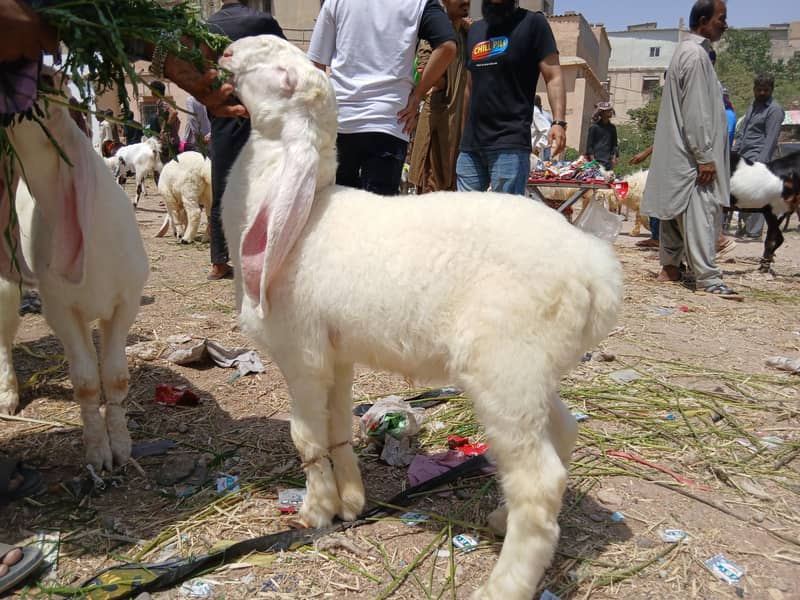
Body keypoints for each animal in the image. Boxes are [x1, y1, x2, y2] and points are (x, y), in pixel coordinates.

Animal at [6, 81, 150, 471]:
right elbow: (85, 381)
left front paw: (121, 447)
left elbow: (115, 377)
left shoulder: (126, 301)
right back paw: (7, 394)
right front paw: (98, 452)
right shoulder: (59, 309)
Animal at [219, 35, 623, 600]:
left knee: (540, 483)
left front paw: (314, 513)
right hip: (532, 373)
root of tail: (596, 272)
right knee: (563, 433)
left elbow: (306, 436)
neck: (294, 212)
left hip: (504, 371)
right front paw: (351, 503)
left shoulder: (302, 355)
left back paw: (502, 586)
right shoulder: (337, 355)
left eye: (285, 77)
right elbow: (337, 425)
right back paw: (500, 520)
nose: (227, 53)